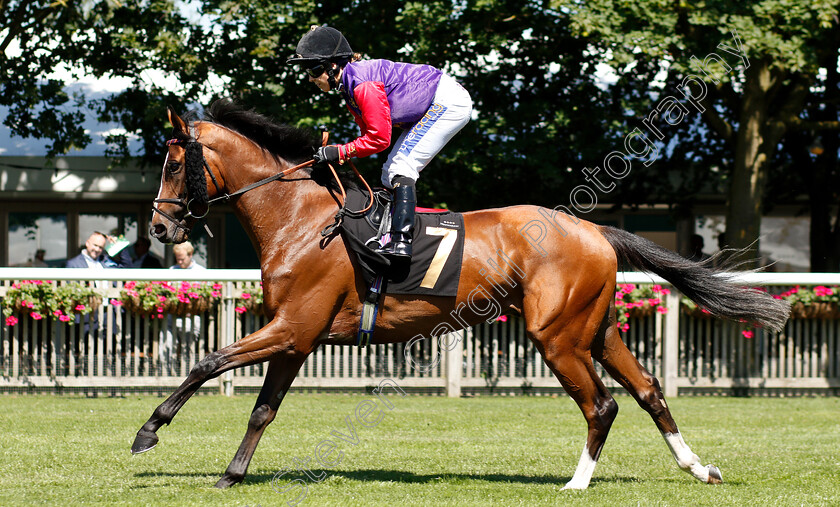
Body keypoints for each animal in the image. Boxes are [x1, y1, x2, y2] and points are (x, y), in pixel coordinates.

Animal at [135, 100, 792, 492]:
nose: (161, 229)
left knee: (602, 404)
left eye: (174, 164)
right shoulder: (296, 338)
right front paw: (232, 473)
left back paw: (577, 482)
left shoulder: (292, 328)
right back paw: (697, 466)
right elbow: (262, 409)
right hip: (598, 329)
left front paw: (149, 432)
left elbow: (207, 362)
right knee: (649, 390)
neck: (298, 218)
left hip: (557, 335)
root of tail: (594, 230)